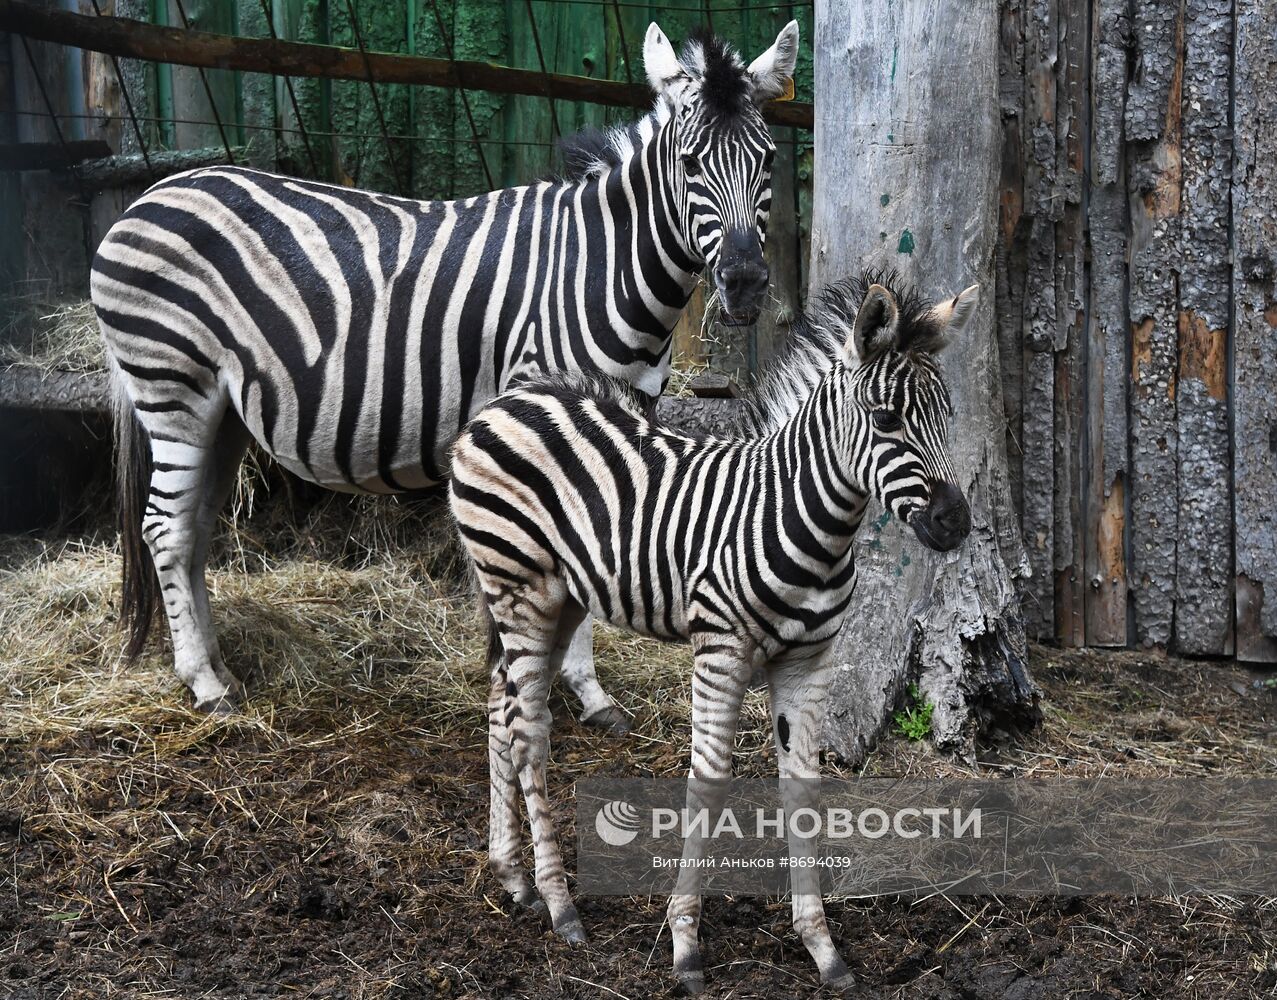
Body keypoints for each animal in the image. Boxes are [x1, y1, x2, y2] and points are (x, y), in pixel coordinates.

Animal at [449, 269, 975, 991]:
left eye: (947, 415)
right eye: (887, 418)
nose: (956, 524)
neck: (801, 517)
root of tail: (506, 401)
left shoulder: (809, 660)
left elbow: (802, 786)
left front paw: (822, 949)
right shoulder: (719, 650)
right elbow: (709, 780)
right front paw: (684, 944)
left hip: (557, 597)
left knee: (501, 707)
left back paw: (514, 878)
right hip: (517, 585)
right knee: (529, 729)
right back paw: (560, 906)